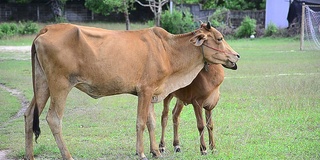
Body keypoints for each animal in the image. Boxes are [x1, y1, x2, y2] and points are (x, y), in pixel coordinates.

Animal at [23, 21, 239, 160]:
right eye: (219, 38)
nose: (236, 56)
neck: (168, 50)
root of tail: (47, 29)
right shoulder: (145, 91)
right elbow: (141, 122)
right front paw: (141, 152)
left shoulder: (151, 93)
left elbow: (152, 122)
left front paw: (156, 151)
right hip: (60, 85)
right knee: (53, 119)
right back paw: (67, 156)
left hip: (42, 84)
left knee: (29, 114)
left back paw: (29, 155)